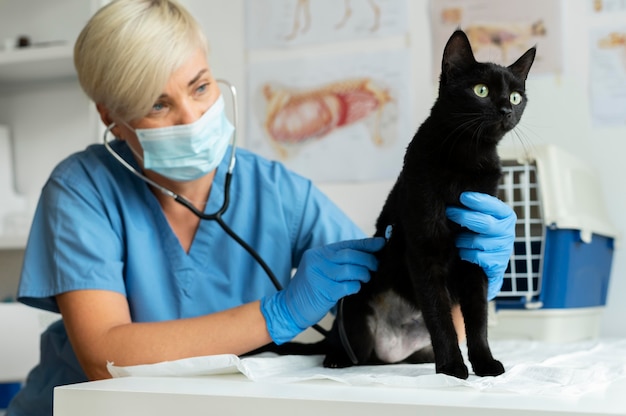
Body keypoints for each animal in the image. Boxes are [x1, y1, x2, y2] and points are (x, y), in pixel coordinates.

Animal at [251, 29, 532, 380]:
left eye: (516, 97)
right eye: (481, 90)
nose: (506, 110)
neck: (467, 161)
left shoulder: (476, 255)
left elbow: (478, 319)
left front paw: (484, 363)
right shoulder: (424, 251)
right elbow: (440, 317)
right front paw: (452, 367)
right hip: (355, 309)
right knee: (355, 350)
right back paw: (337, 358)